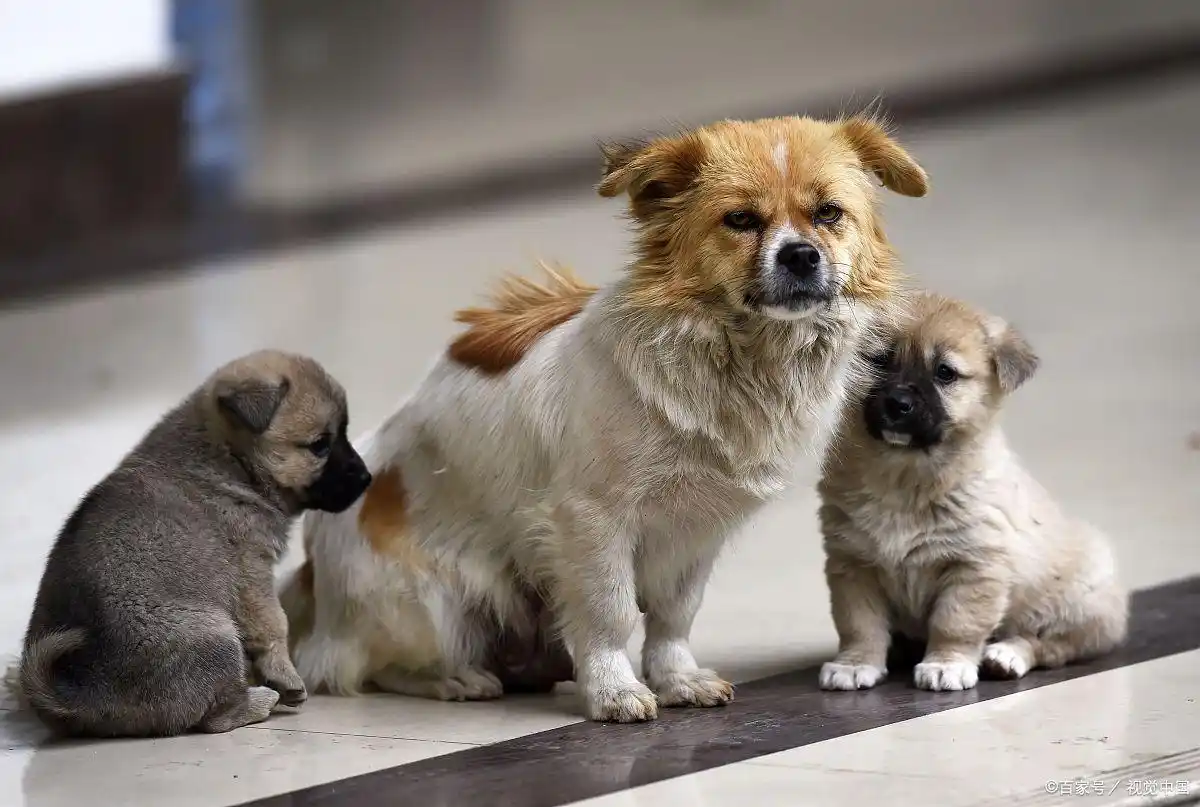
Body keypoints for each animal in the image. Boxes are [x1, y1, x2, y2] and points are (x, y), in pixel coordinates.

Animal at [8, 348, 369, 739]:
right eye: (320, 445)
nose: (367, 477)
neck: (231, 459)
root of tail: (87, 697)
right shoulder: (253, 573)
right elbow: (275, 624)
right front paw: (286, 675)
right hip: (215, 635)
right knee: (216, 718)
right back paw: (259, 701)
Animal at [280, 111, 926, 720]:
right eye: (741, 221)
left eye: (829, 214)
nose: (801, 255)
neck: (738, 355)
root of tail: (311, 582)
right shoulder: (593, 522)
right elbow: (610, 611)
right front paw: (614, 691)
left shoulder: (696, 529)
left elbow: (673, 616)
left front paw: (677, 680)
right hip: (434, 605)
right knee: (361, 665)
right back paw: (454, 678)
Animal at [816, 296, 1123, 691]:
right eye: (880, 360)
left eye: (945, 373)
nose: (898, 403)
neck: (905, 478)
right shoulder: (853, 564)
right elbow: (859, 625)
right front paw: (855, 664)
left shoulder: (974, 567)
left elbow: (956, 623)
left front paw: (946, 665)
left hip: (1079, 606)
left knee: (1048, 645)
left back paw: (1005, 656)